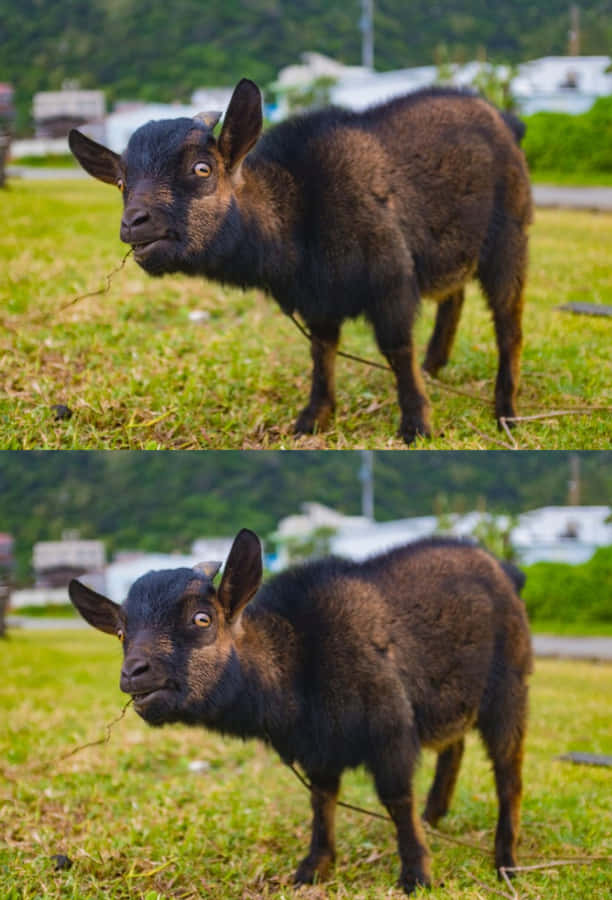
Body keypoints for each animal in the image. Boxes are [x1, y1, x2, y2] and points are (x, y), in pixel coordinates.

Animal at [69, 79, 532, 444]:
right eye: (122, 183)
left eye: (202, 169)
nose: (134, 223)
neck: (300, 208)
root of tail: (503, 120)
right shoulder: (318, 300)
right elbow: (321, 352)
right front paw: (313, 418)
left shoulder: (391, 279)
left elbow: (396, 348)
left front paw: (416, 423)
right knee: (453, 298)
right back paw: (434, 366)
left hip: (509, 236)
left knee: (508, 323)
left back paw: (505, 411)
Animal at [70, 532, 532, 888]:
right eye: (122, 633)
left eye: (203, 619)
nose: (134, 673)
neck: (301, 657)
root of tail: (504, 570)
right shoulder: (319, 748)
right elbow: (321, 801)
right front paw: (314, 867)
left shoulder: (391, 729)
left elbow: (396, 798)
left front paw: (416, 873)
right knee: (454, 747)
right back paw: (434, 816)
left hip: (509, 688)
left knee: (508, 774)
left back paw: (505, 861)